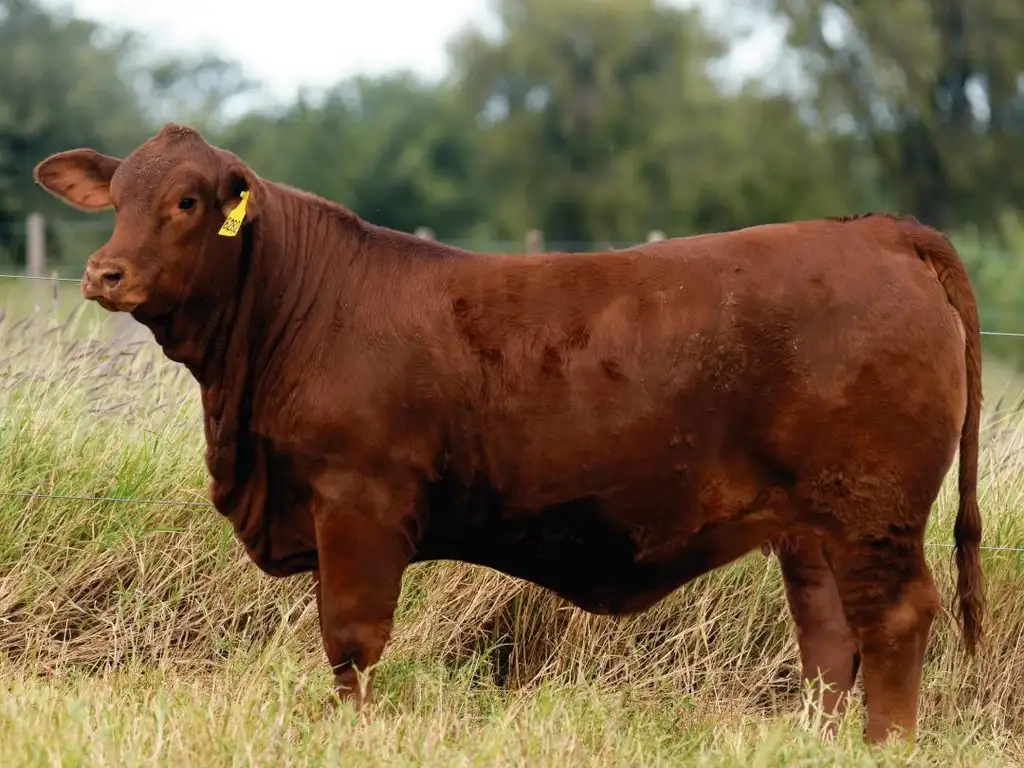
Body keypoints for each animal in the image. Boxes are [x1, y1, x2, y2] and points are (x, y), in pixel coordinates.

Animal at [34, 124, 983, 745]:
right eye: (116, 199)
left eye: (188, 201)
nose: (103, 273)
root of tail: (876, 231)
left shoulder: (359, 502)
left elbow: (352, 641)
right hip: (814, 525)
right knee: (830, 638)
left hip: (874, 510)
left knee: (894, 620)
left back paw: (887, 748)